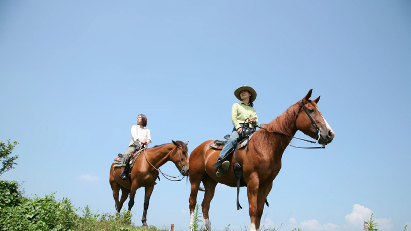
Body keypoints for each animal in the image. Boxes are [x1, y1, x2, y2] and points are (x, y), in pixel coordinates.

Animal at [189, 90, 334, 231]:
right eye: (311, 110)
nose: (330, 133)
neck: (266, 145)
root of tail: (198, 148)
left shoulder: (267, 184)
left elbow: (259, 211)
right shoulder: (253, 181)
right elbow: (253, 210)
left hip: (210, 181)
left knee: (205, 205)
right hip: (195, 180)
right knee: (192, 202)